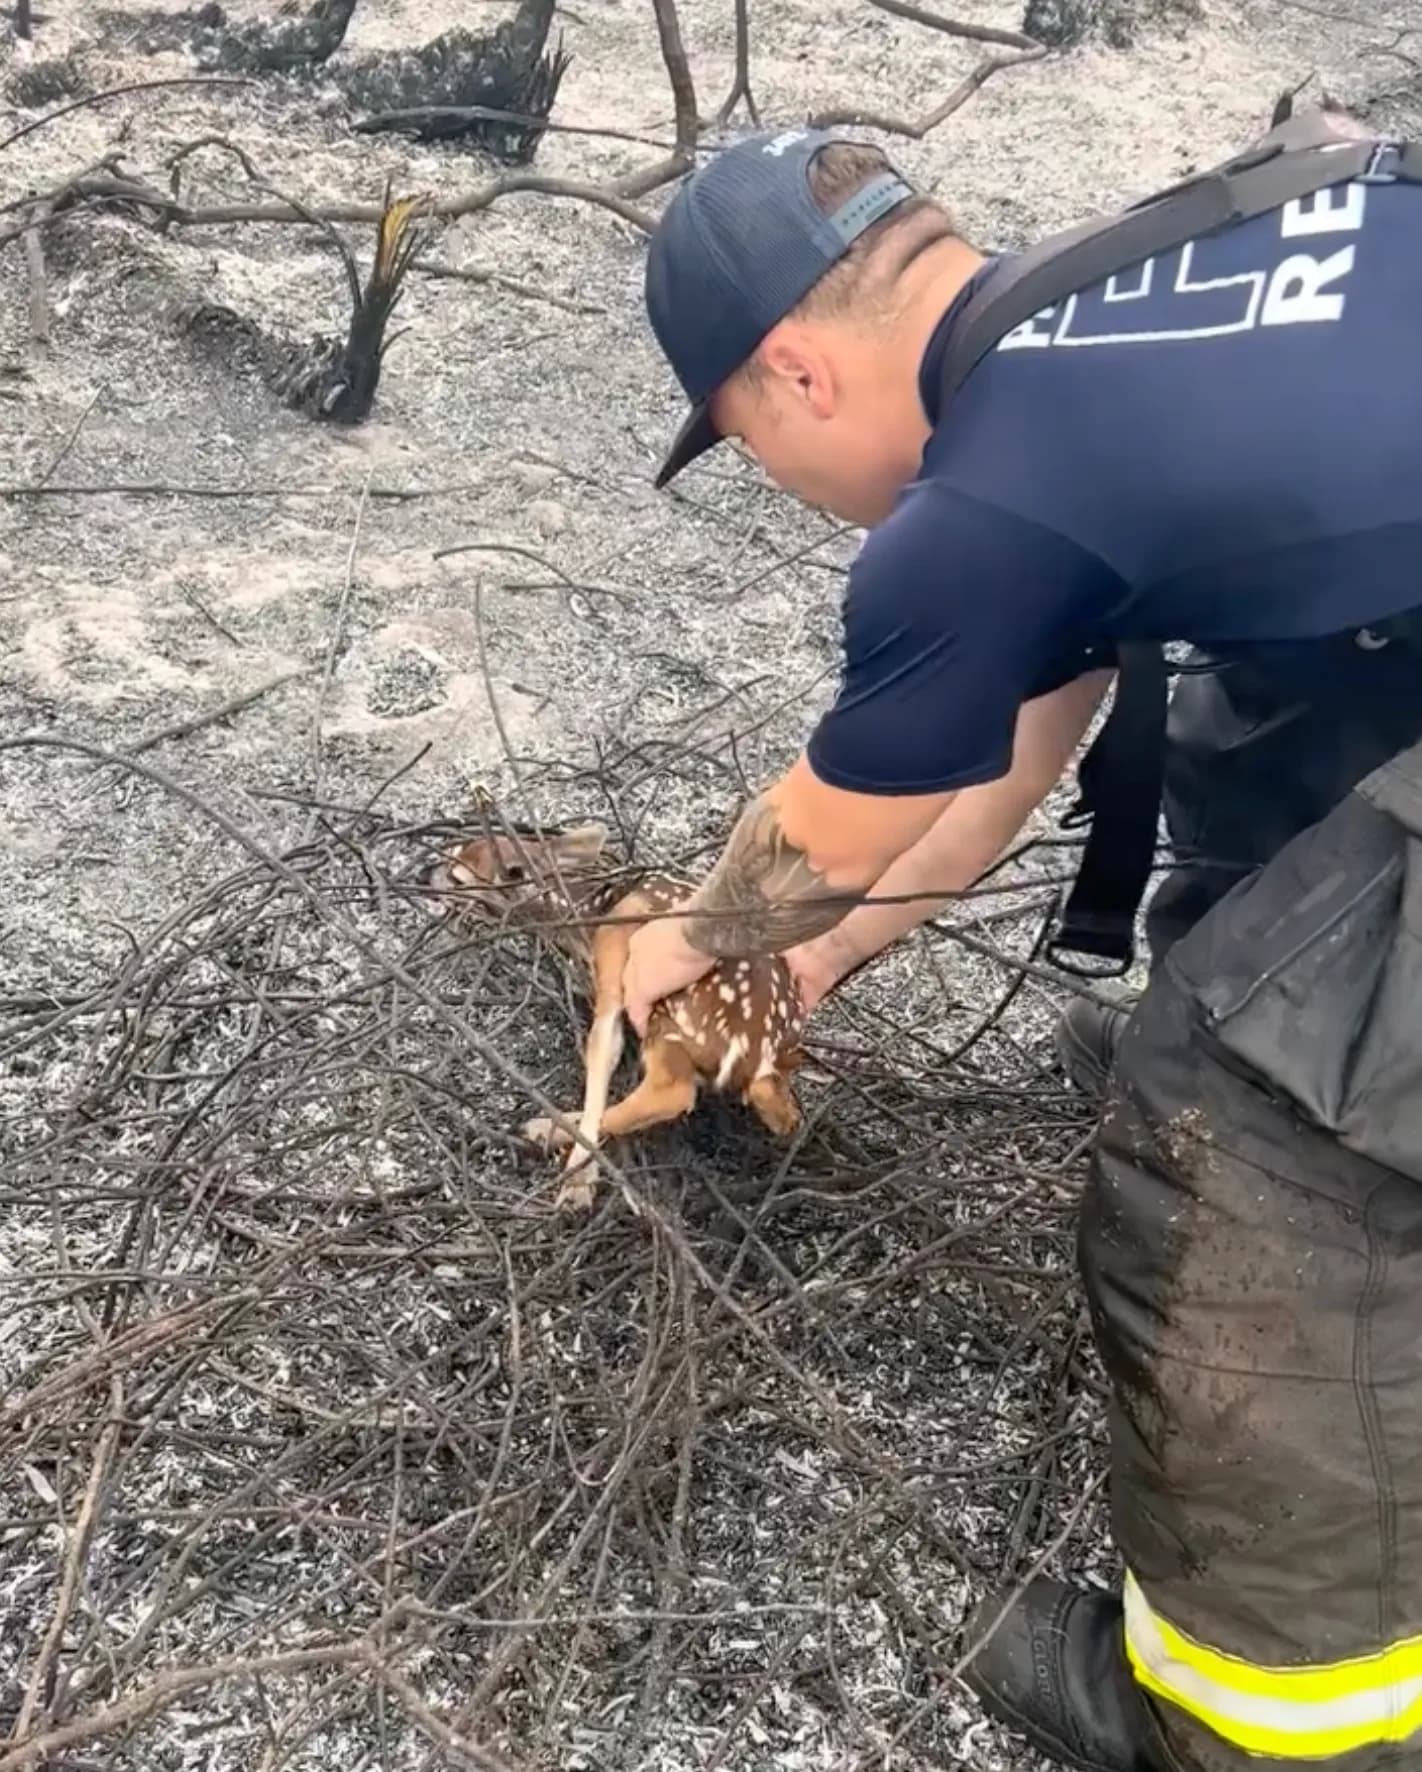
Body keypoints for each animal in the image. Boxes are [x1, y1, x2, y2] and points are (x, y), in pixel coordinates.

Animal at [427, 820, 806, 1211]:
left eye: (457, 875)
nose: (425, 872)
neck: (587, 911)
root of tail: (756, 1049)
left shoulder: (613, 954)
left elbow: (601, 1052)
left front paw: (578, 1182)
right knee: (785, 1113)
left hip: (671, 1016)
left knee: (671, 1093)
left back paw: (544, 1132)